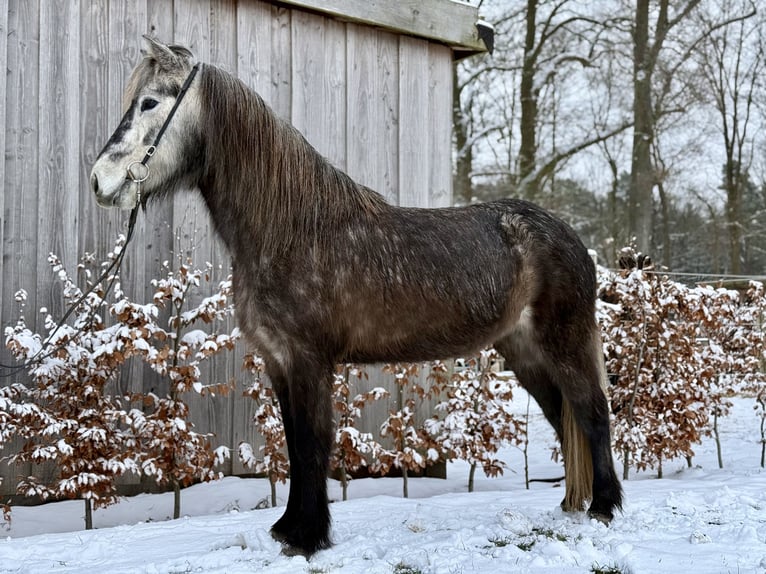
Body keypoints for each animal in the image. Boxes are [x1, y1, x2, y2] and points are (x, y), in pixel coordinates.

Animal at [89, 36, 622, 557]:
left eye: (149, 102)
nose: (99, 180)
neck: (291, 230)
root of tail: (569, 237)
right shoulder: (279, 361)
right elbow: (295, 443)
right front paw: (290, 529)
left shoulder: (308, 359)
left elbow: (312, 442)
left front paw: (309, 537)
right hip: (524, 352)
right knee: (564, 417)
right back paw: (575, 505)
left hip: (563, 344)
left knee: (593, 413)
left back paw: (604, 508)